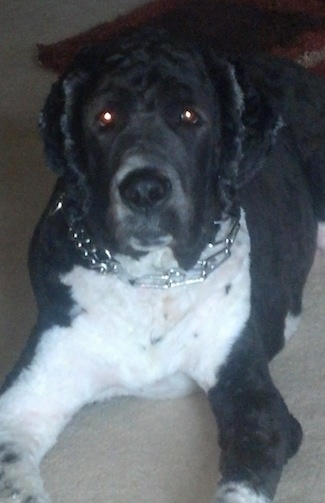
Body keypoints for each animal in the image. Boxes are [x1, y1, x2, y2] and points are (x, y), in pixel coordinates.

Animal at [0, 26, 324, 503]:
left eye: (190, 115)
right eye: (105, 117)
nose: (145, 189)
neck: (154, 281)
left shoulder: (255, 402)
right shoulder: (26, 399)